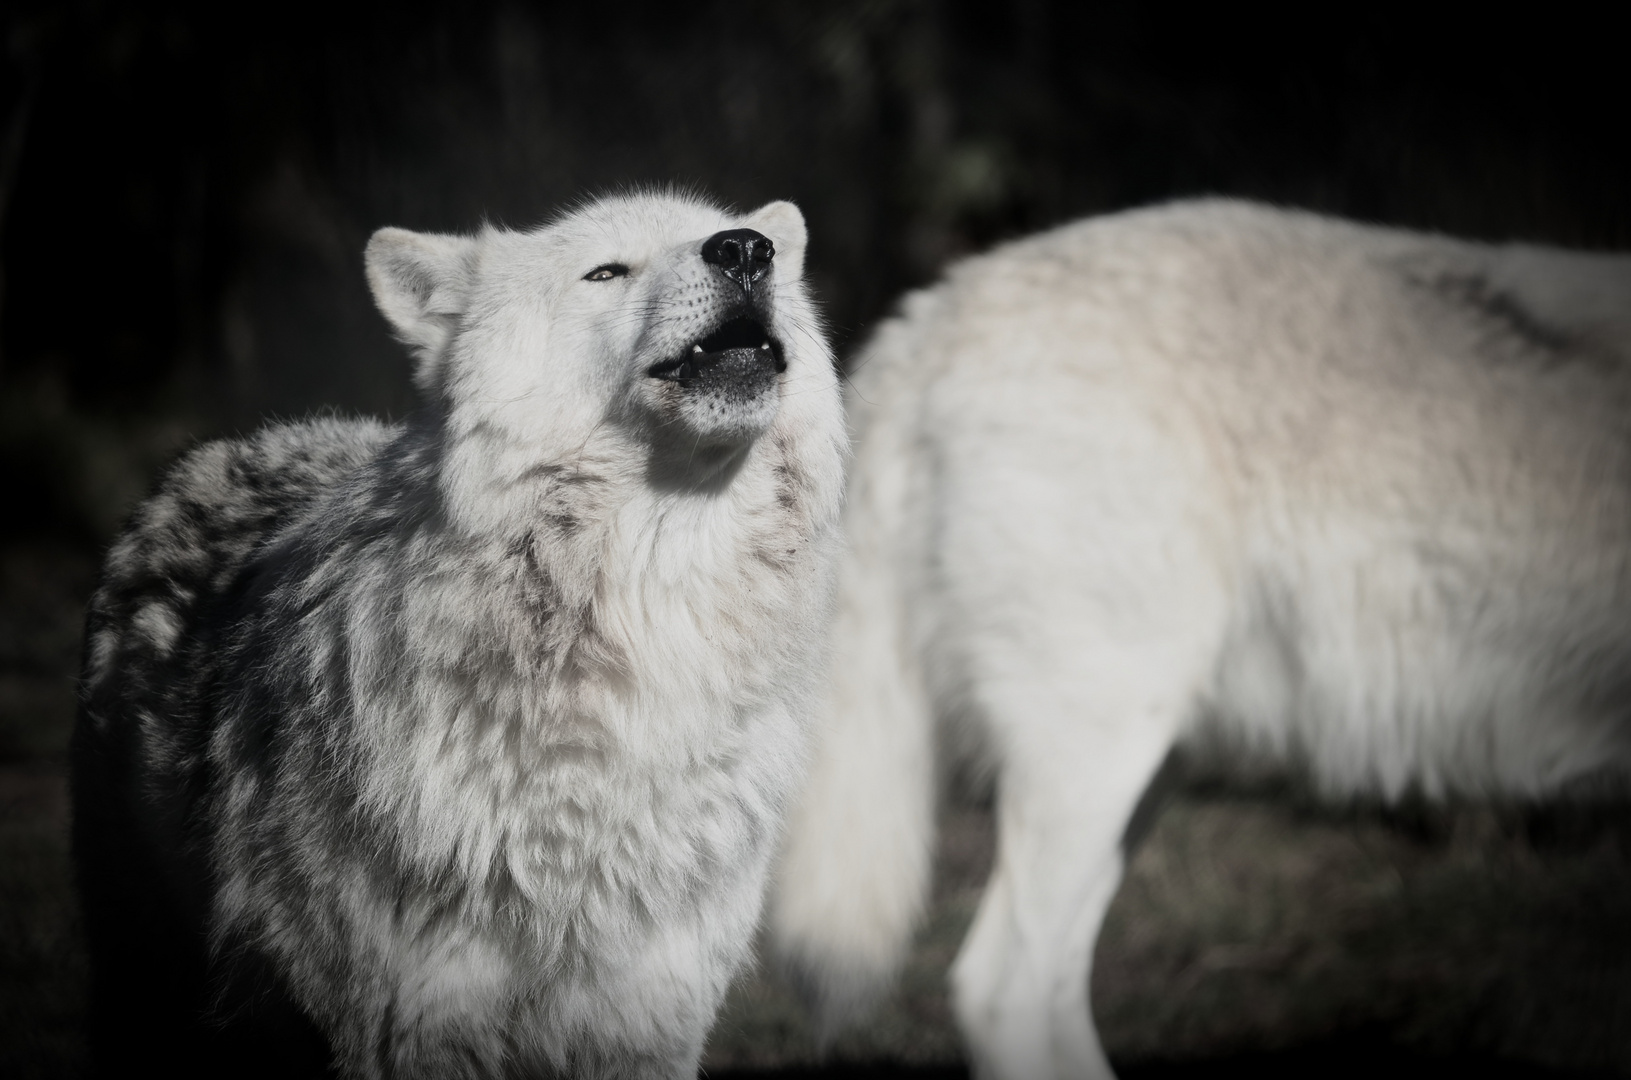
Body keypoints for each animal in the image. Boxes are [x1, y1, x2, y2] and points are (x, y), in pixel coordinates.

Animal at [71, 192, 848, 1080]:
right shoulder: (406, 1027)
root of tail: (236, 442)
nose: (746, 250)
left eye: (729, 238)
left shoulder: (644, 1025)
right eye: (606, 271)